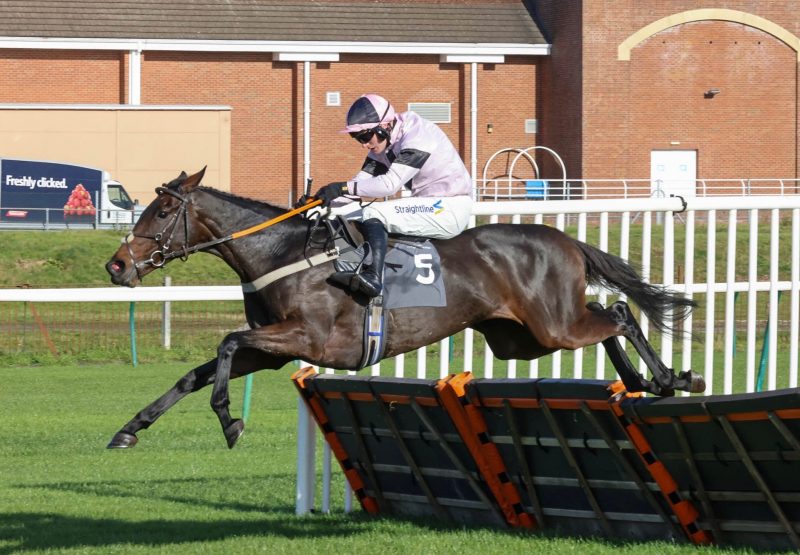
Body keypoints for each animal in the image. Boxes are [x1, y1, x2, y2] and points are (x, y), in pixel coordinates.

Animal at [103, 167, 704, 450]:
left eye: (161, 212)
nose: (116, 265)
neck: (282, 253)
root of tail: (564, 239)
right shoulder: (273, 348)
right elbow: (195, 374)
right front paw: (129, 428)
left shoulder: (310, 339)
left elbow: (226, 344)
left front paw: (229, 420)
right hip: (520, 340)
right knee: (608, 314)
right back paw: (646, 382)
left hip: (552, 326)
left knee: (619, 313)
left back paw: (668, 378)